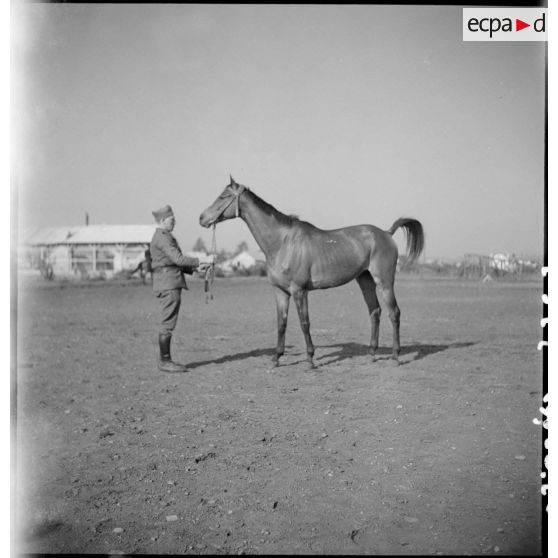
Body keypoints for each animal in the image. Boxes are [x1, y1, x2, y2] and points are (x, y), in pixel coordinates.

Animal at [200, 177, 424, 370]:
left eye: (223, 196)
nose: (202, 218)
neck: (282, 243)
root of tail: (386, 233)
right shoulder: (280, 291)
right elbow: (281, 323)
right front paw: (276, 358)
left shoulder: (299, 291)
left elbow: (304, 322)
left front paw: (310, 359)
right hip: (365, 279)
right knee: (375, 311)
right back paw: (371, 354)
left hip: (384, 281)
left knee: (394, 313)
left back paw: (395, 356)